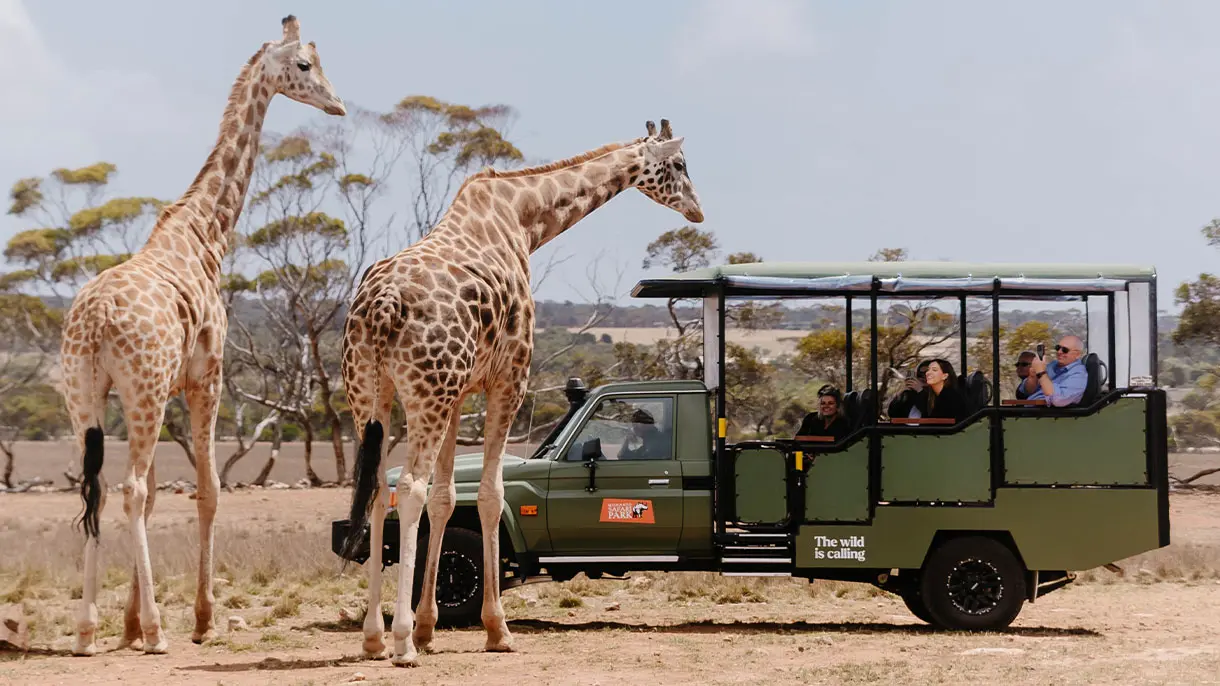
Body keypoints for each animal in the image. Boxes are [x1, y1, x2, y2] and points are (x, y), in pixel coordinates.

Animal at [57, 15, 345, 656]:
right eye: (306, 64)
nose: (337, 104)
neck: (204, 235)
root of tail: (94, 321)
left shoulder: (160, 392)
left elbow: (161, 490)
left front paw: (126, 624)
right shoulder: (204, 380)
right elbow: (207, 490)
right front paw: (199, 618)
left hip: (83, 395)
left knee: (99, 489)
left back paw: (87, 629)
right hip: (137, 392)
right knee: (129, 489)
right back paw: (159, 632)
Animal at [338, 118, 702, 666]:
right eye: (680, 164)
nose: (697, 210)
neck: (524, 221)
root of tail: (383, 305)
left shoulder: (460, 392)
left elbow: (447, 498)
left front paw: (429, 627)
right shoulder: (509, 377)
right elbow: (490, 495)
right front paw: (496, 629)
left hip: (371, 393)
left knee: (380, 489)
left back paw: (375, 637)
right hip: (425, 390)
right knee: (409, 488)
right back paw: (399, 643)